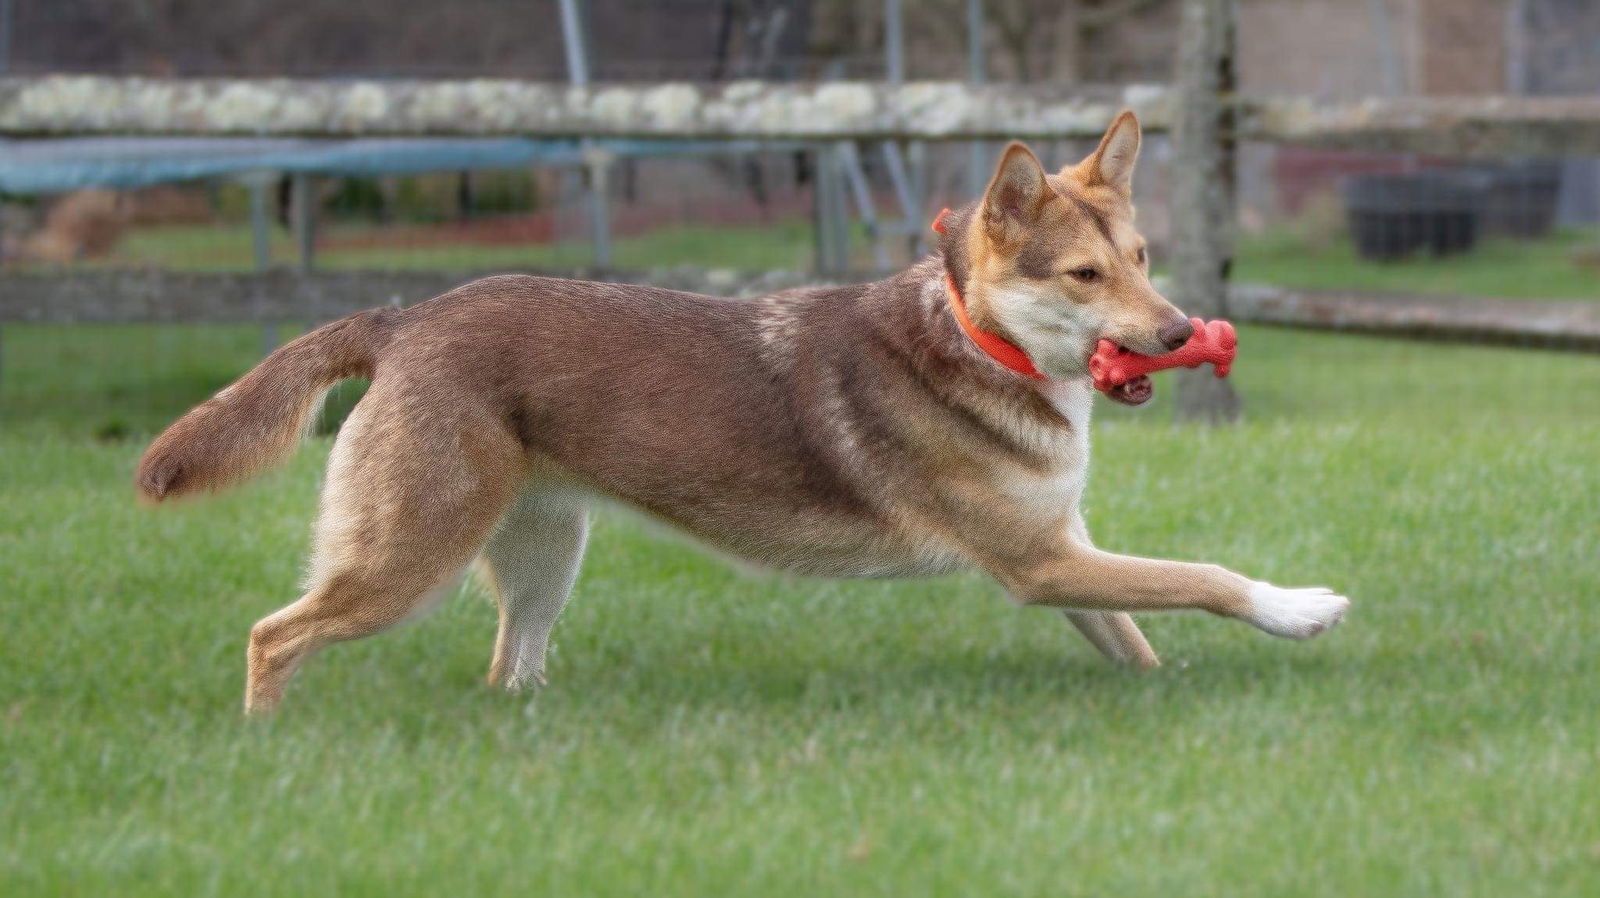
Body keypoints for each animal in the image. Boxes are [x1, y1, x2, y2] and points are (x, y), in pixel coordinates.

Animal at [137, 113, 1350, 713]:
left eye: (1141, 257)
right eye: (1086, 276)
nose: (1181, 328)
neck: (981, 341)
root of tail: (404, 317)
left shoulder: (1062, 553)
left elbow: (1138, 638)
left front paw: (1168, 694)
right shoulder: (1039, 563)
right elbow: (1205, 579)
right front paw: (1303, 608)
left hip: (542, 561)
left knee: (503, 670)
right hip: (408, 561)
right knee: (274, 635)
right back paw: (265, 749)